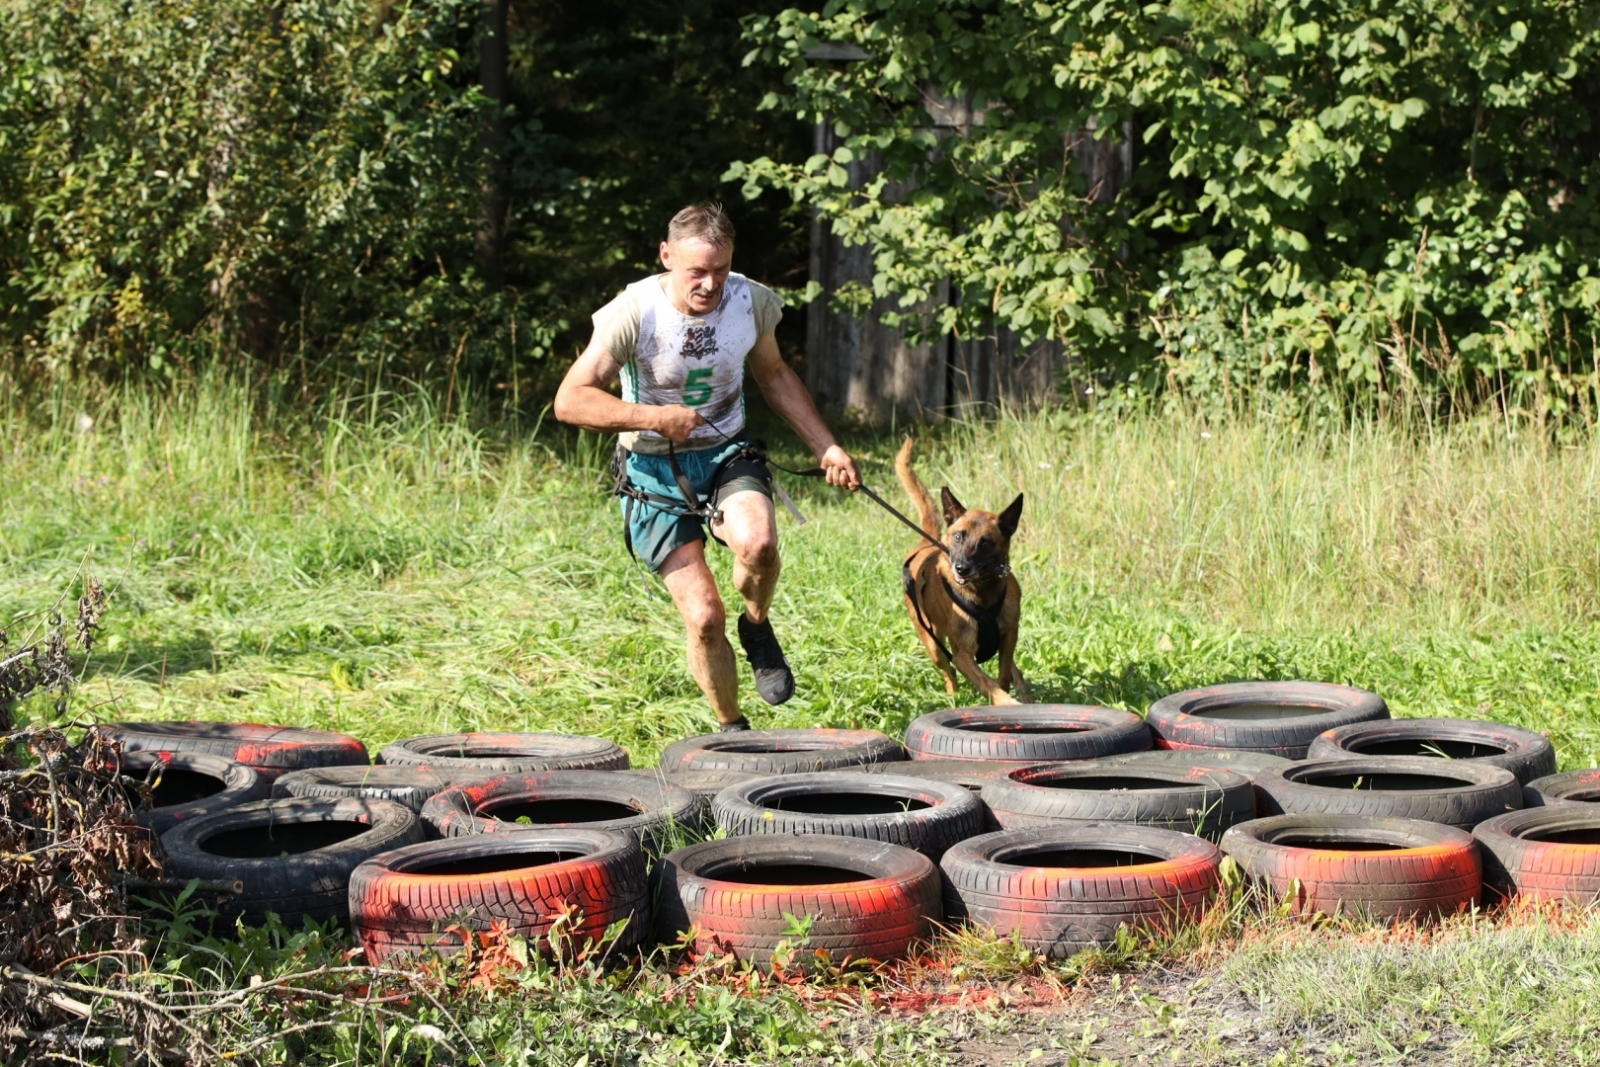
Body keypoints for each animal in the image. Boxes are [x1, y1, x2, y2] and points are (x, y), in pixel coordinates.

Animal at [896, 438, 1030, 703]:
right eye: (958, 536)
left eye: (985, 543)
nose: (961, 568)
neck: (983, 594)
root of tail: (925, 545)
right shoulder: (962, 656)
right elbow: (990, 686)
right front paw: (1006, 702)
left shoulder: (1009, 636)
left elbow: (1003, 675)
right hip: (934, 647)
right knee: (949, 675)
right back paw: (953, 698)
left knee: (1012, 669)